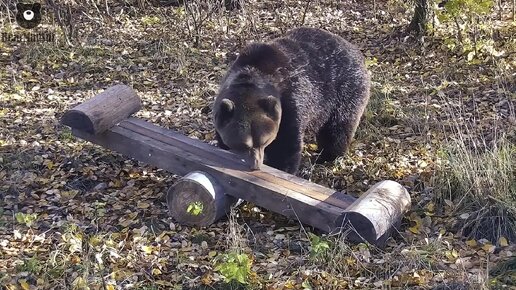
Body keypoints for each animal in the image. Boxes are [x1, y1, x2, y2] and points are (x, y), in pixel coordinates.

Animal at [214, 26, 370, 174]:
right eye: (244, 145)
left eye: (264, 141)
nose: (256, 165)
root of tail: (357, 52)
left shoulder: (292, 103)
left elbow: (286, 146)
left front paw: (281, 167)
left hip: (346, 90)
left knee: (337, 128)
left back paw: (326, 157)